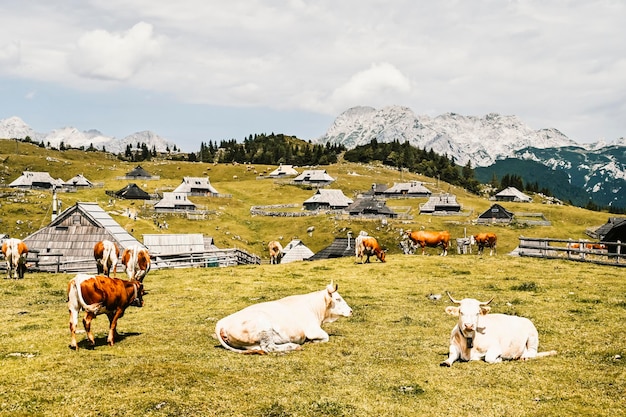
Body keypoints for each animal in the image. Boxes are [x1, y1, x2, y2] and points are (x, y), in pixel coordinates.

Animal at [214, 282, 352, 352]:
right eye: (338, 299)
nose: (351, 311)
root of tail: (222, 322)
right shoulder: (312, 330)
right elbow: (326, 337)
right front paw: (313, 341)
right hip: (263, 327)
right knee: (269, 347)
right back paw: (293, 346)